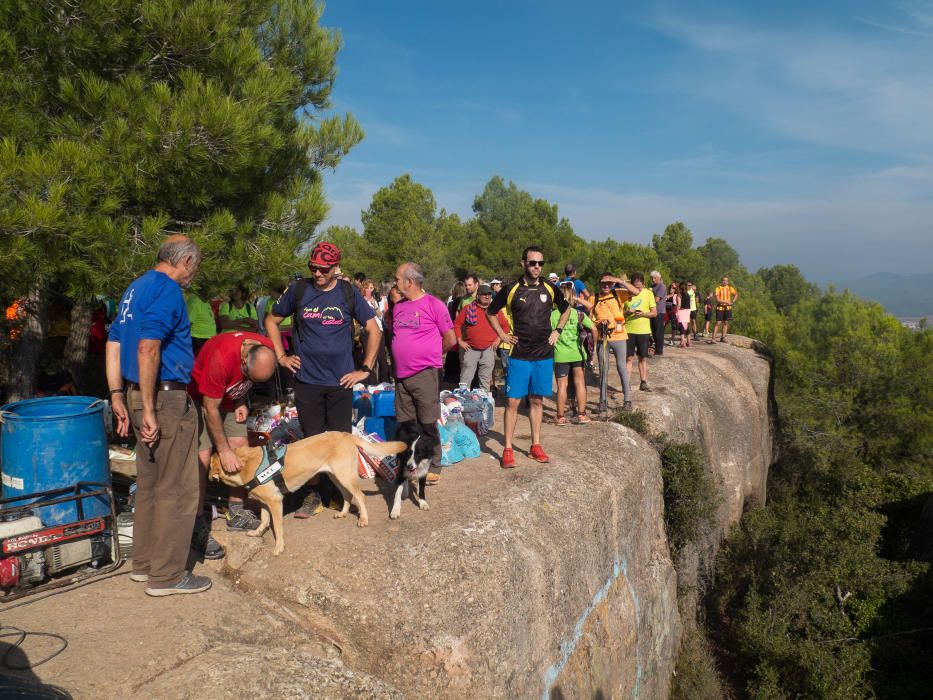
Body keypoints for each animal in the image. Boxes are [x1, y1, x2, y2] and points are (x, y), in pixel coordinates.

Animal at [208, 430, 404, 556]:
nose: (209, 477)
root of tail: (346, 434)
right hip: (335, 476)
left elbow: (277, 527)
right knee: (347, 496)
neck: (244, 464)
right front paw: (257, 533)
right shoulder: (265, 502)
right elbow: (264, 520)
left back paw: (363, 519)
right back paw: (342, 513)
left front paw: (279, 547)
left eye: (210, 465)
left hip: (344, 475)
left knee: (359, 496)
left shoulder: (275, 501)